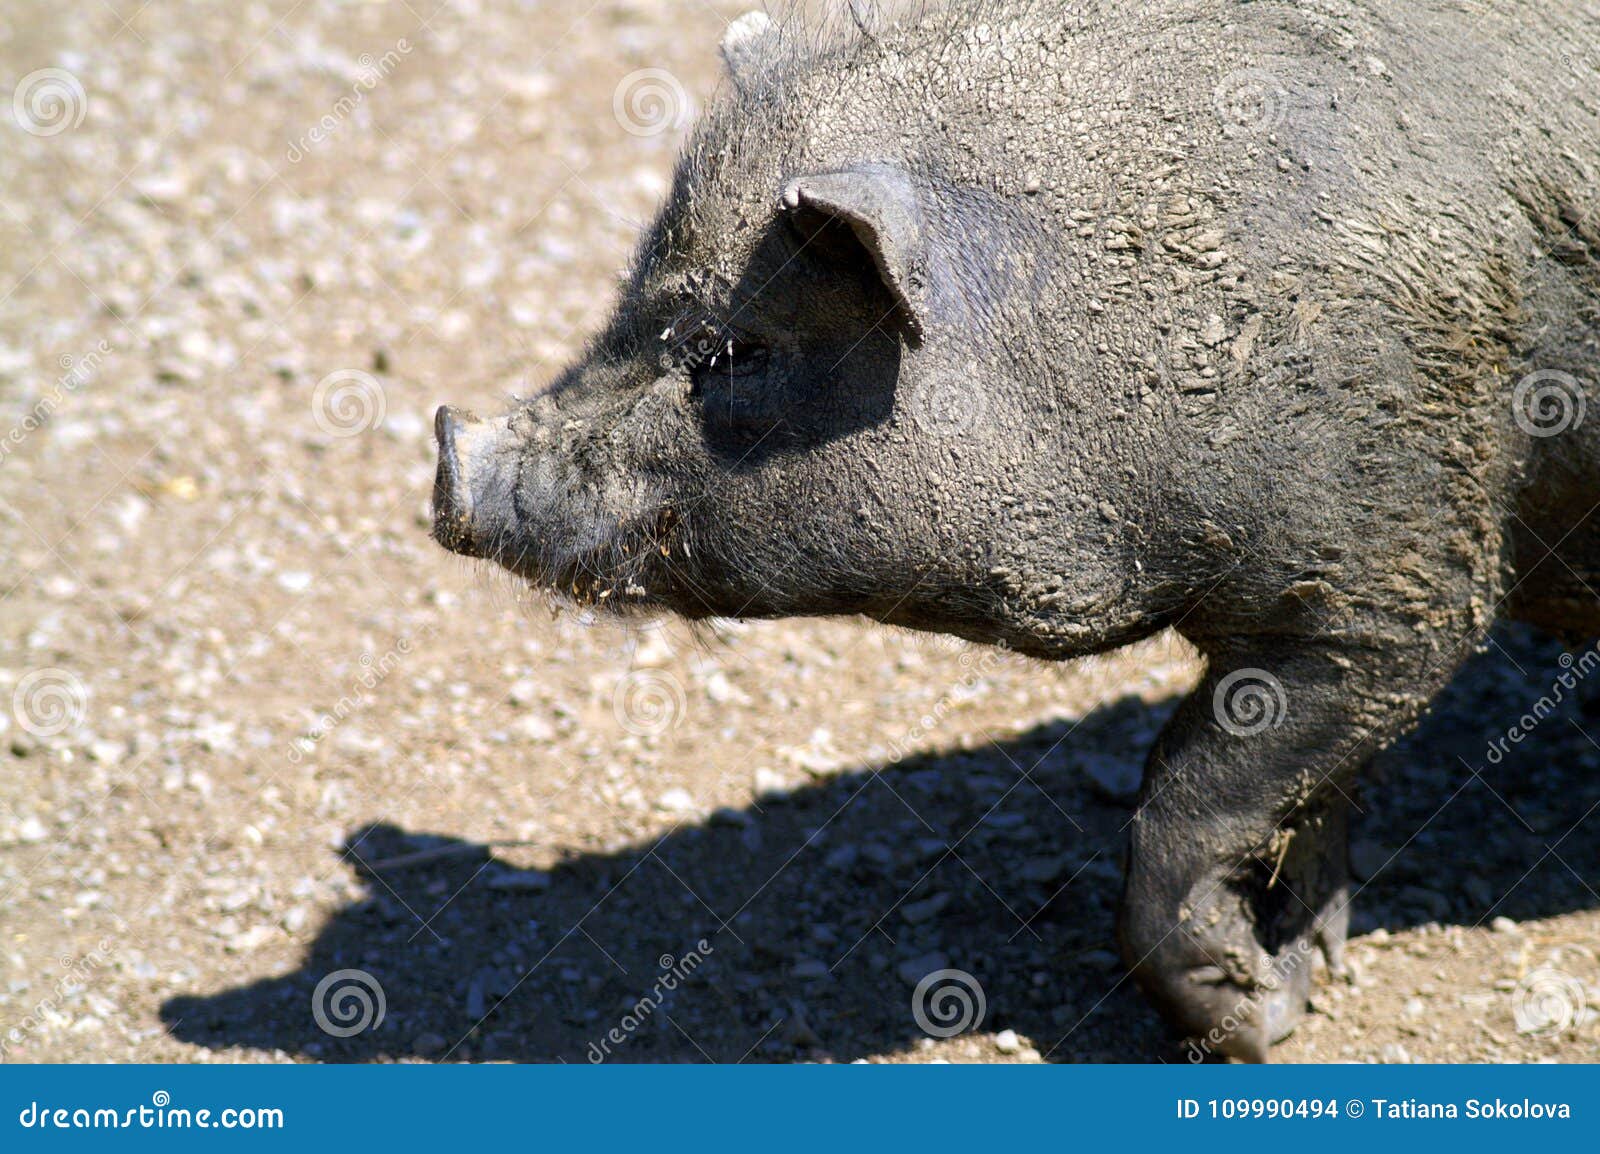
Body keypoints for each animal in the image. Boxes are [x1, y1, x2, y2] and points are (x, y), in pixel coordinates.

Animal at [432, 0, 1600, 1056]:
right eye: (629, 304)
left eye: (734, 349)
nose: (447, 461)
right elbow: (1305, 807)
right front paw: (1302, 972)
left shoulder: (1397, 590)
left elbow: (1190, 799)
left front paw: (1255, 1027)